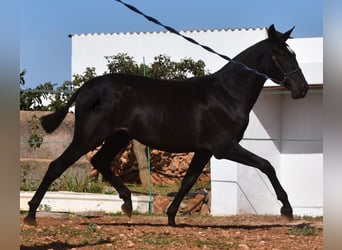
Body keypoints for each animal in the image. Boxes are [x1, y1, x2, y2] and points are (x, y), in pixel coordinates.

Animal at [23, 24, 308, 227]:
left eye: (294, 53)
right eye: (281, 54)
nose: (302, 89)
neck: (227, 94)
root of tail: (86, 88)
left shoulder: (204, 150)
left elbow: (188, 180)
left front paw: (171, 217)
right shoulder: (224, 147)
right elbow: (267, 165)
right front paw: (287, 210)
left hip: (118, 136)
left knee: (100, 161)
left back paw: (127, 204)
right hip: (89, 136)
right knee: (57, 166)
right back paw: (31, 215)